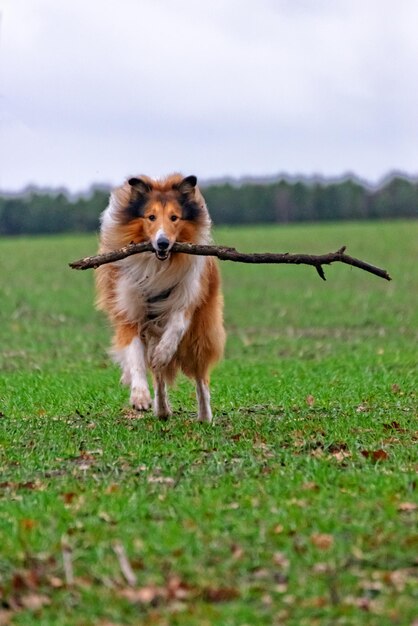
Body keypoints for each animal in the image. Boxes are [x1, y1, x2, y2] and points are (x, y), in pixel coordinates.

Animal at [95, 173, 225, 422]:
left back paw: (205, 416)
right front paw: (140, 397)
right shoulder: (128, 310)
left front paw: (163, 353)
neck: (157, 266)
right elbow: (136, 357)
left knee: (200, 377)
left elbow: (176, 327)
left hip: (200, 336)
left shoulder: (187, 297)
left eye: (174, 217)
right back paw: (162, 409)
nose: (162, 243)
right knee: (158, 377)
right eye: (151, 217)